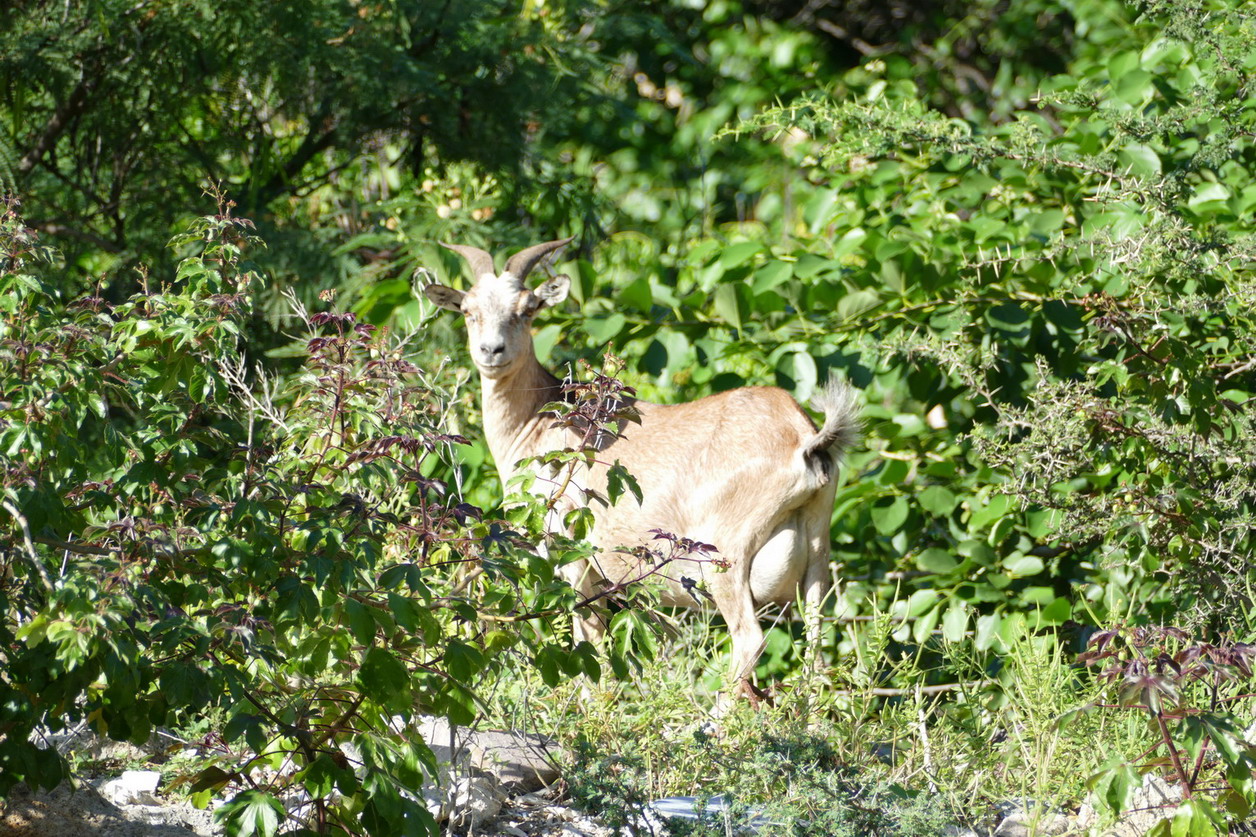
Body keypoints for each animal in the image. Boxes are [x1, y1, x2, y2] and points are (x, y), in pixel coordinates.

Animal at [427, 237, 859, 693]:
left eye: (528, 308)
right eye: (467, 309)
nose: (491, 351)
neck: (539, 421)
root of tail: (804, 438)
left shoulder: (575, 560)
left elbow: (590, 647)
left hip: (726, 558)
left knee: (750, 640)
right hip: (817, 555)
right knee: (816, 649)